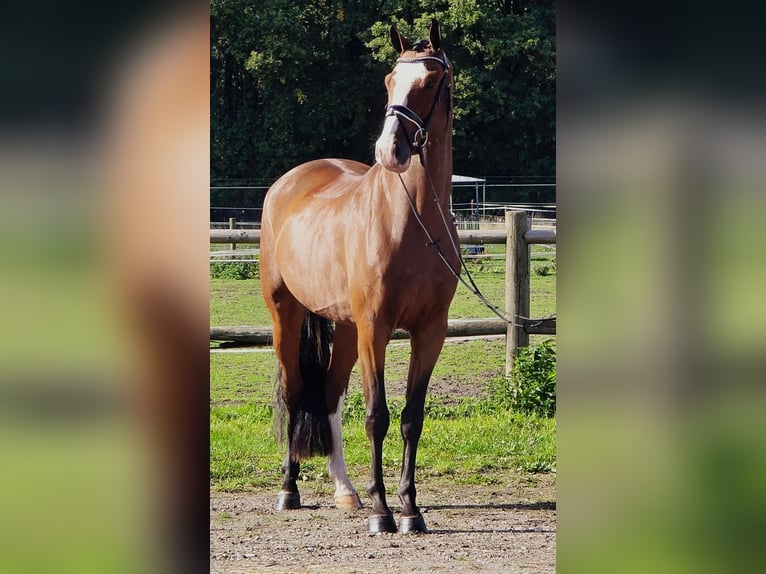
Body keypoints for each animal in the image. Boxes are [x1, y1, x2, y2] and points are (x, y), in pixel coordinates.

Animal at [260, 20, 458, 535]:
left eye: (432, 81)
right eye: (390, 80)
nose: (390, 150)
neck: (412, 222)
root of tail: (289, 182)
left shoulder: (431, 333)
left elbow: (411, 417)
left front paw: (409, 509)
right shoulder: (376, 329)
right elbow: (376, 417)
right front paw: (382, 512)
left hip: (346, 328)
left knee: (329, 395)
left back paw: (345, 491)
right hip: (287, 315)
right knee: (295, 393)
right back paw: (289, 490)